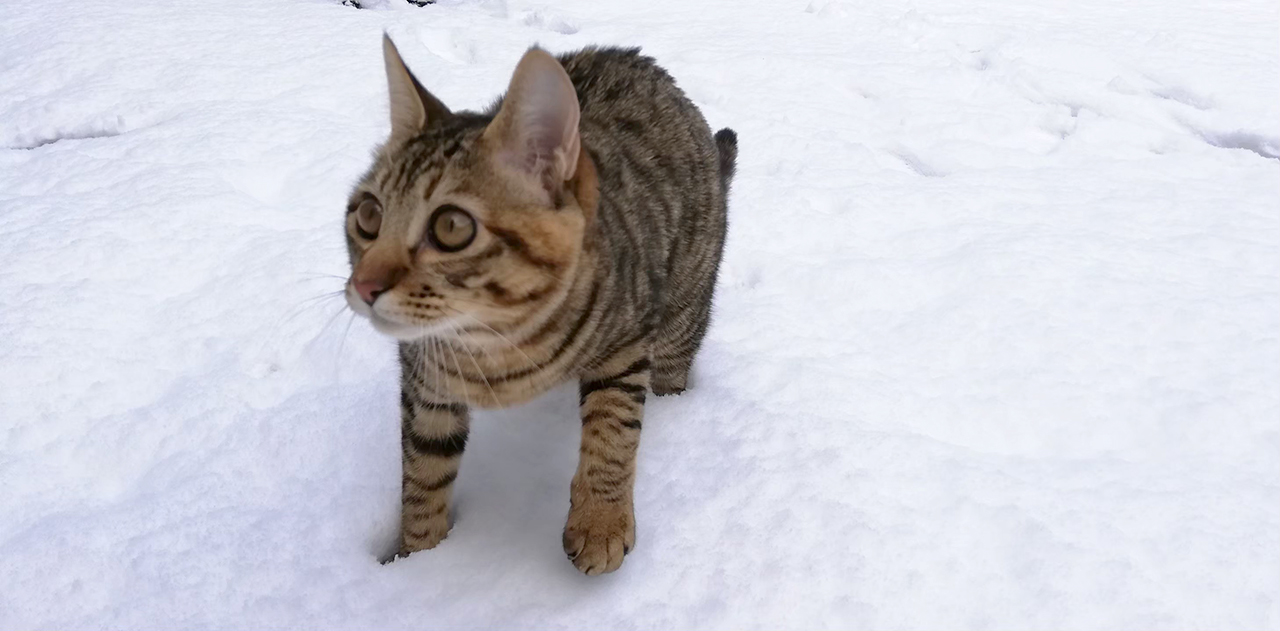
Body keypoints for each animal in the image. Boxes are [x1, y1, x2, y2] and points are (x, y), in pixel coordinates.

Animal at [345, 35, 737, 575]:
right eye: (368, 215)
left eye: (451, 227)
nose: (364, 285)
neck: (496, 344)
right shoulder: (426, 386)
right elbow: (424, 474)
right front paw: (418, 560)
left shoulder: (625, 344)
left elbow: (614, 429)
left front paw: (600, 522)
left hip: (683, 306)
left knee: (672, 368)